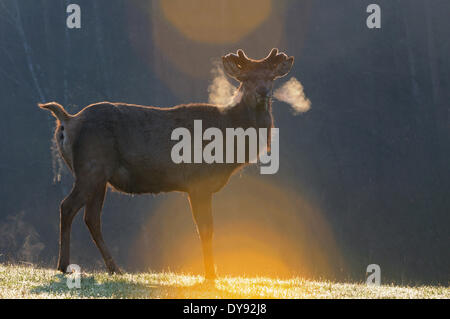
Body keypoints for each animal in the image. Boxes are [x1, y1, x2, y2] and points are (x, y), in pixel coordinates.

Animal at [39, 48, 296, 280]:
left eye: (271, 76)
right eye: (246, 78)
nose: (263, 91)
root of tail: (67, 120)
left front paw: (211, 272)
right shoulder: (199, 181)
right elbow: (206, 229)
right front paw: (210, 274)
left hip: (98, 176)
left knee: (91, 218)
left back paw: (113, 268)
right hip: (91, 167)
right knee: (68, 207)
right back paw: (64, 266)